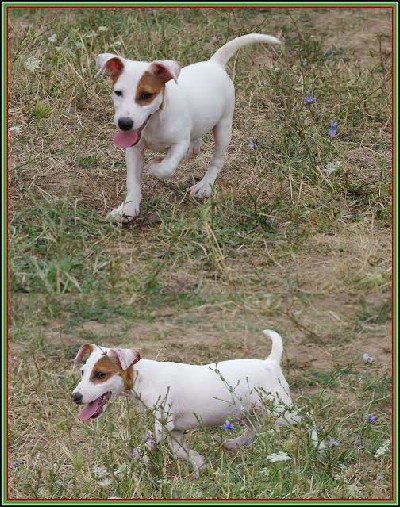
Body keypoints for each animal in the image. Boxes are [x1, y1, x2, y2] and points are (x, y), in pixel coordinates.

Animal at [94, 31, 282, 222]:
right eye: (118, 92)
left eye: (146, 95)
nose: (124, 123)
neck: (155, 120)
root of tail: (214, 63)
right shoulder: (134, 148)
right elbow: (132, 181)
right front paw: (128, 208)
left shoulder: (179, 143)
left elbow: (166, 167)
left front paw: (155, 165)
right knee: (196, 141)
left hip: (224, 126)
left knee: (217, 160)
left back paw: (204, 185)